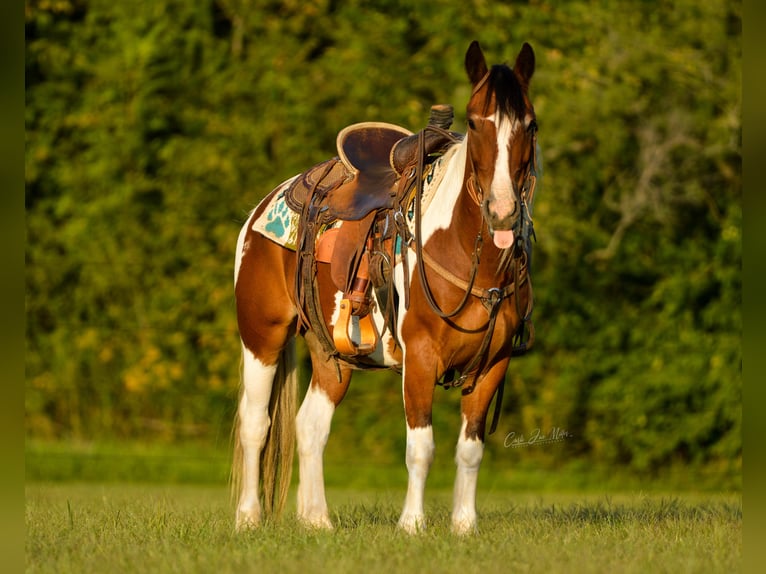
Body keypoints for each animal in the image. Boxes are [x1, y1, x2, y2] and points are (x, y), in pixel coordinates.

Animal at [234, 41, 540, 536]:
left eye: (530, 124)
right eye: (476, 122)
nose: (502, 210)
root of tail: (262, 207)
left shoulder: (494, 363)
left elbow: (470, 450)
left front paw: (464, 526)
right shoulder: (420, 358)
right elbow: (421, 448)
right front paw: (412, 525)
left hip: (332, 356)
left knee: (310, 426)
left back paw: (318, 520)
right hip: (261, 337)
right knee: (255, 424)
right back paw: (248, 517)